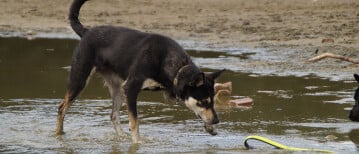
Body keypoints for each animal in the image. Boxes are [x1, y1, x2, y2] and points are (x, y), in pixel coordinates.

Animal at [55, 0, 225, 143]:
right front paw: (137, 144)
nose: (217, 120)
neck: (171, 63)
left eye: (212, 101)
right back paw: (59, 134)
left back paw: (122, 137)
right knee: (62, 108)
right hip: (80, 79)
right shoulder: (131, 88)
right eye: (203, 101)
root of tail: (86, 31)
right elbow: (135, 122)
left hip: (118, 89)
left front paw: (210, 127)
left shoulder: (172, 92)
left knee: (113, 115)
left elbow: (195, 110)